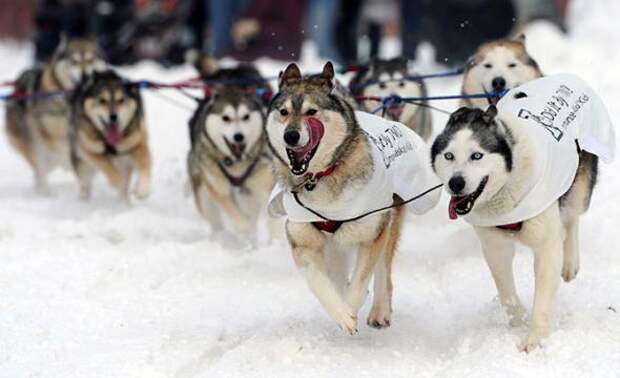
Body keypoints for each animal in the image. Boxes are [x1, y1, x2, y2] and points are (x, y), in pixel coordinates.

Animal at [4, 36, 105, 192]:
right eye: (74, 61)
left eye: (90, 60)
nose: (85, 75)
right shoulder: (50, 135)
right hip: (36, 146)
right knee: (40, 169)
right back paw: (45, 190)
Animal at [70, 71, 151, 201]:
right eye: (102, 100)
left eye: (121, 100)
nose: (113, 117)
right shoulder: (88, 150)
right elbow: (107, 167)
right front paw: (119, 181)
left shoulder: (137, 143)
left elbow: (145, 163)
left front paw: (142, 189)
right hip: (83, 165)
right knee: (85, 182)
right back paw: (84, 198)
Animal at [188, 89, 274, 236]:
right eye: (225, 118)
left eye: (246, 116)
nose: (239, 136)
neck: (237, 163)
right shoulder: (218, 188)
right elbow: (234, 213)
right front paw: (244, 227)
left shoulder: (264, 183)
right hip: (203, 195)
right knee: (215, 220)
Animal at [268, 63, 440, 332]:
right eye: (283, 112)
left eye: (311, 111)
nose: (290, 135)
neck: (320, 177)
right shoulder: (304, 242)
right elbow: (320, 282)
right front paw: (341, 312)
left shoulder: (372, 232)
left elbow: (361, 280)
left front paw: (351, 307)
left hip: (387, 222)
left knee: (382, 272)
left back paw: (380, 310)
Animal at [432, 74, 616, 352]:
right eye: (449, 156)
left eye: (477, 155)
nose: (456, 183)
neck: (508, 181)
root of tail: (566, 76)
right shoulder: (495, 246)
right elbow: (506, 292)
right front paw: (518, 323)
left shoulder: (546, 247)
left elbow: (543, 295)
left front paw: (534, 340)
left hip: (579, 187)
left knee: (571, 217)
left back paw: (570, 263)